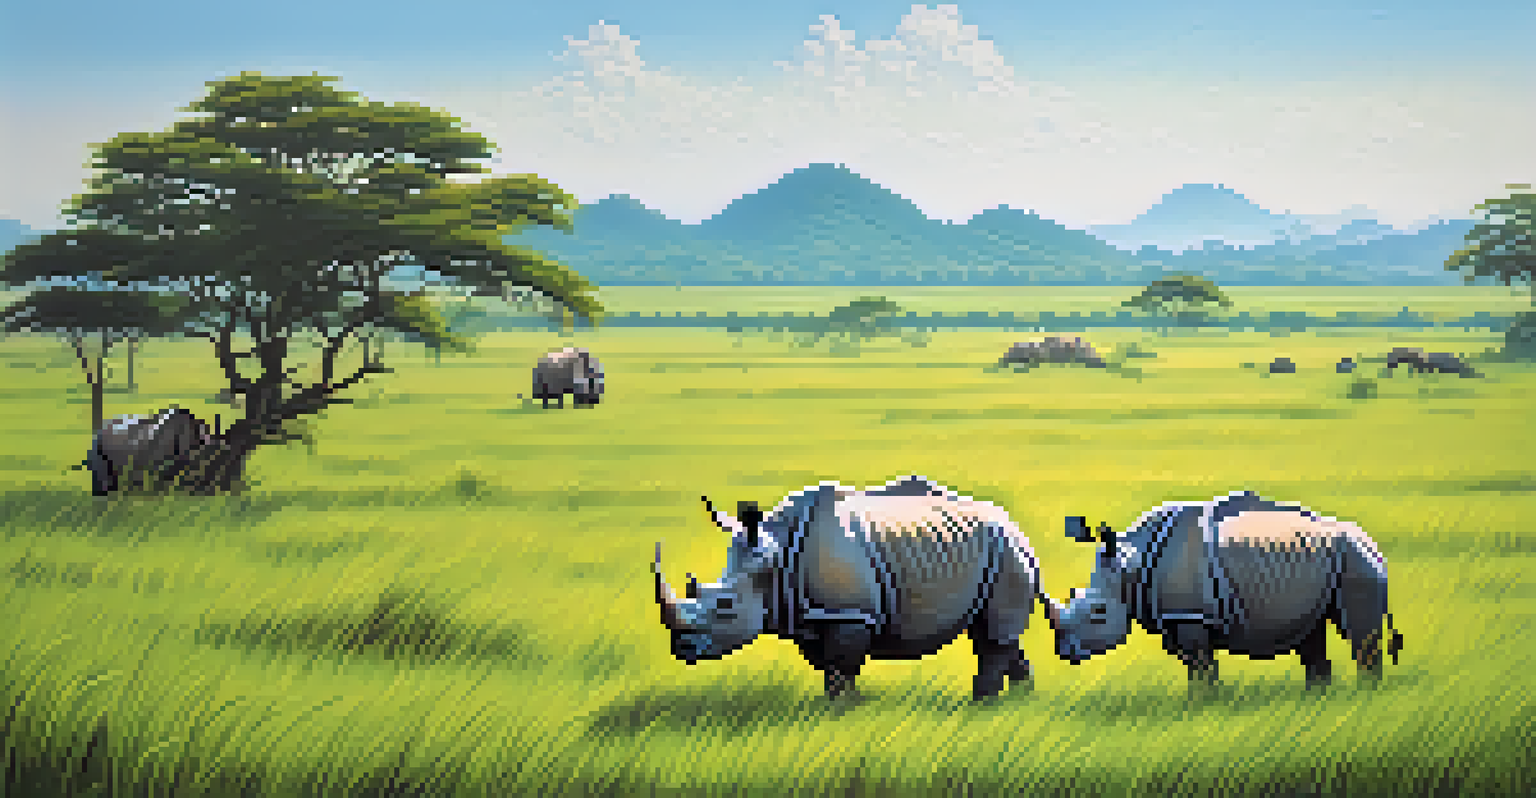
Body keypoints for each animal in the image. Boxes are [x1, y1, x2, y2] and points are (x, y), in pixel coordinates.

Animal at [653, 476, 1043, 700]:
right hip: (990, 550)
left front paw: (841, 711)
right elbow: (831, 667)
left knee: (993, 635)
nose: (680, 647)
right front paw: (841, 708)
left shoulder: (850, 613)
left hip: (1006, 553)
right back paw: (1017, 703)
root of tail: (1018, 529)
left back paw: (982, 705)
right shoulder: (809, 614)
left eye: (725, 606)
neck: (775, 558)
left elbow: (841, 669)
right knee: (996, 634)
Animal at [1043, 491, 1403, 688]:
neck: (1129, 565)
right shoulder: (1179, 619)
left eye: (1098, 613)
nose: (1063, 650)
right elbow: (1197, 671)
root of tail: (1376, 550)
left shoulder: (1191, 617)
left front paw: (1201, 708)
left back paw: (1365, 694)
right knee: (1312, 636)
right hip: (1325, 561)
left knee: (1361, 638)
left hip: (1356, 562)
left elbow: (1204, 672)